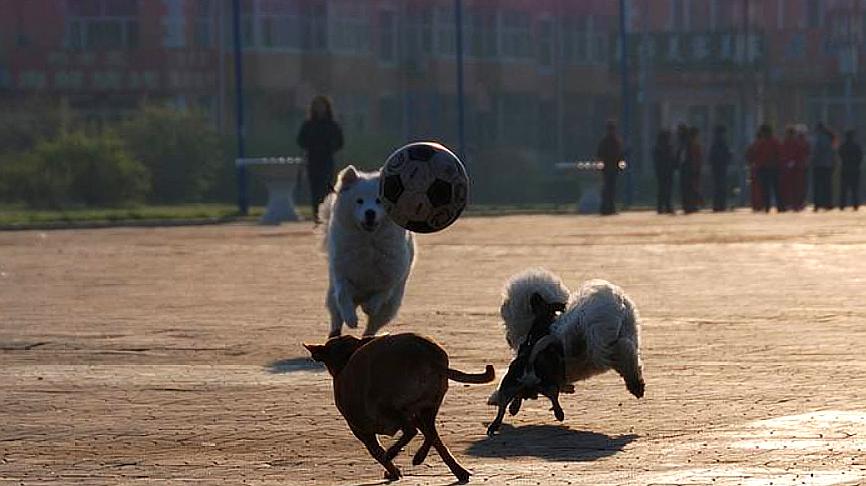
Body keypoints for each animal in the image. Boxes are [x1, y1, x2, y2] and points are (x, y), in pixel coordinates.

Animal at [304, 332, 492, 480]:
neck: (344, 360)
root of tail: (426, 356)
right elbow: (434, 439)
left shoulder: (361, 430)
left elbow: (376, 451)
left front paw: (392, 470)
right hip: (428, 405)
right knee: (431, 433)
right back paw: (435, 462)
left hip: (385, 404)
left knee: (411, 431)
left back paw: (393, 453)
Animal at [318, 164, 416, 338]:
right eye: (359, 201)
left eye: (379, 201)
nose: (370, 212)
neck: (368, 242)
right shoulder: (342, 274)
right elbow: (343, 296)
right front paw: (351, 319)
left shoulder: (390, 276)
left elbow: (381, 294)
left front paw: (369, 307)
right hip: (332, 297)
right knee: (336, 316)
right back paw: (335, 334)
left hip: (390, 307)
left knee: (372, 325)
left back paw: (367, 336)